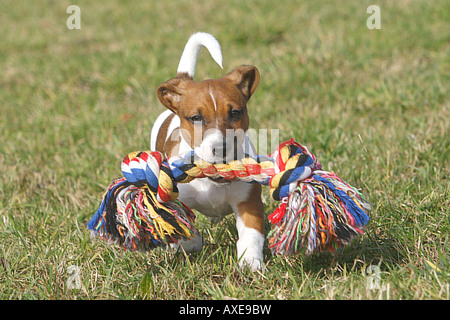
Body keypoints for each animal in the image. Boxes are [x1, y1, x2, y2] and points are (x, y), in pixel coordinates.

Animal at [149, 32, 266, 270]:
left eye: (235, 112)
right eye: (196, 117)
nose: (221, 147)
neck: (213, 182)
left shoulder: (248, 202)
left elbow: (251, 235)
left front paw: (251, 262)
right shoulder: (174, 198)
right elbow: (184, 228)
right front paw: (188, 241)